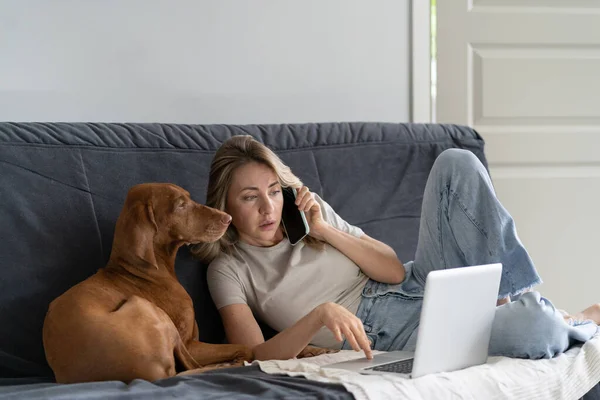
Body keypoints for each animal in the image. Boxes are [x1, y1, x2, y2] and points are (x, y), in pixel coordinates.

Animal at [41, 184, 253, 384]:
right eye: (180, 205)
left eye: (189, 198)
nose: (228, 218)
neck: (142, 268)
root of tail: (151, 376)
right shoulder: (190, 343)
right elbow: (245, 347)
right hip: (145, 307)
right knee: (192, 366)